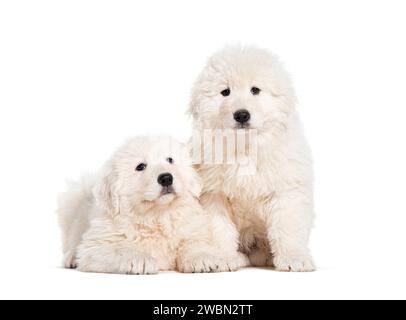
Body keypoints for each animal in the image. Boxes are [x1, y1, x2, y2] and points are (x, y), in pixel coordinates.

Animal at [58, 136, 246, 276]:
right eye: (140, 166)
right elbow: (119, 249)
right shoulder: (95, 247)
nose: (166, 178)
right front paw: (139, 259)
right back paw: (71, 258)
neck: (157, 214)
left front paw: (202, 258)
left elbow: (193, 243)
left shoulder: (192, 229)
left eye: (170, 160)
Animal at [189, 45, 316, 272]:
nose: (241, 115)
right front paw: (223, 258)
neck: (245, 147)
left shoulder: (286, 189)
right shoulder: (212, 195)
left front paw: (294, 257)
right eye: (225, 92)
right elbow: (219, 229)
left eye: (255, 90)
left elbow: (287, 227)